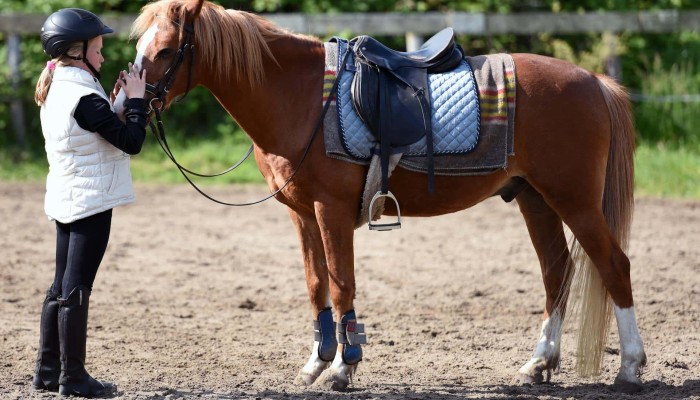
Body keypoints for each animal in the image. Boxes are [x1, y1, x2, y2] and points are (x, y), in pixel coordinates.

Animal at [115, 0, 646, 393]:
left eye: (166, 50)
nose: (123, 107)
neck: (299, 97)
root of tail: (594, 82)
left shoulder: (329, 210)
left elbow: (341, 284)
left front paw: (343, 366)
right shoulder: (301, 215)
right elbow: (316, 285)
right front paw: (317, 362)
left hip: (574, 200)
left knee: (614, 265)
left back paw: (630, 367)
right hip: (535, 199)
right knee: (557, 272)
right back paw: (538, 364)